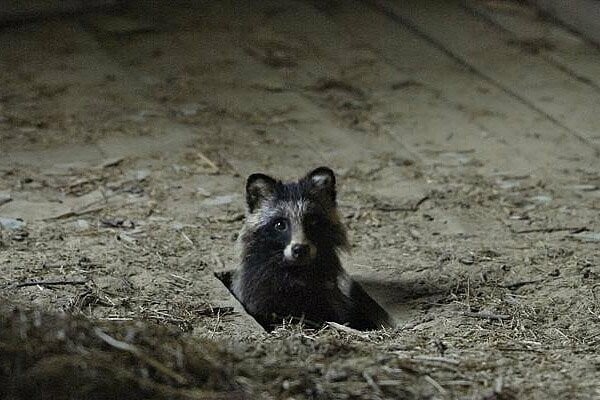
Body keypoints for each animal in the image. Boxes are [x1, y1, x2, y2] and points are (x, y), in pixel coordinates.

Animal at [231, 166, 394, 332]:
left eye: (313, 221)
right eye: (280, 224)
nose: (300, 249)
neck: (296, 270)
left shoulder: (327, 291)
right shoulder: (259, 286)